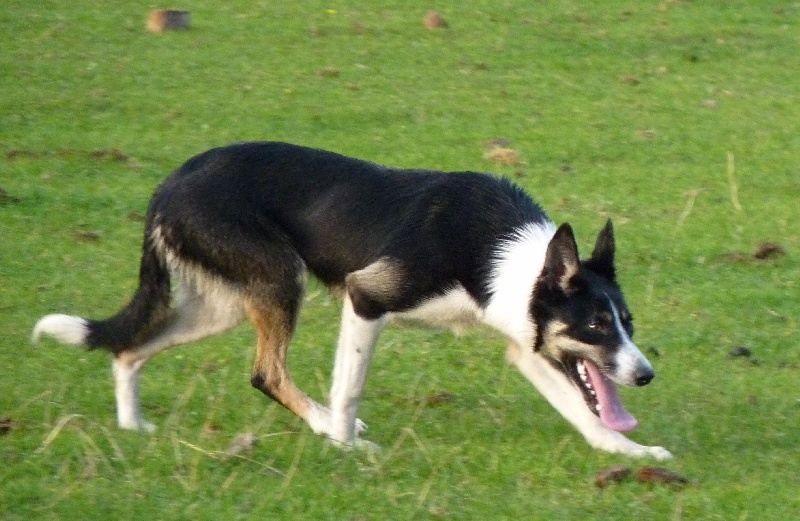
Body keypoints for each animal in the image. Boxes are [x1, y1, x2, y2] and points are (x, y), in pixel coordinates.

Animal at [29, 140, 668, 458]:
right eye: (596, 326)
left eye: (627, 322)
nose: (645, 374)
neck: (502, 255)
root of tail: (167, 185)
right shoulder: (367, 298)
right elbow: (349, 386)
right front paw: (343, 445)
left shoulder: (526, 348)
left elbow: (582, 412)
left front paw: (629, 453)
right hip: (280, 279)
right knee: (266, 373)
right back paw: (326, 429)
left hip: (221, 305)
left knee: (128, 350)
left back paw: (133, 425)